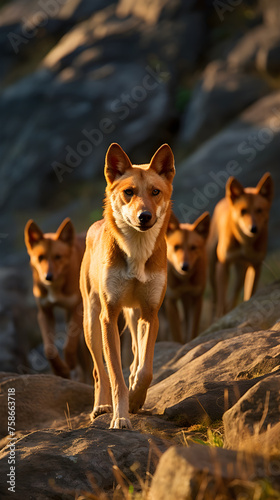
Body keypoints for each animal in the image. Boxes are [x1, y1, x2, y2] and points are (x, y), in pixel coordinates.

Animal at [25, 219, 89, 378]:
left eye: (58, 256)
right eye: (40, 257)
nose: (48, 277)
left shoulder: (77, 309)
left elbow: (69, 344)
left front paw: (69, 364)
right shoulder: (44, 313)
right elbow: (49, 349)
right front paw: (60, 371)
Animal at [79, 142, 175, 430]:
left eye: (155, 192)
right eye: (129, 192)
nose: (145, 216)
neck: (137, 252)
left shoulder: (151, 314)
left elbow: (146, 370)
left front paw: (135, 400)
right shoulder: (109, 316)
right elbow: (115, 378)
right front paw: (120, 417)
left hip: (133, 316)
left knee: (135, 354)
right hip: (92, 323)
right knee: (98, 371)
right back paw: (100, 407)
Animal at [165, 211, 209, 344]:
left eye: (193, 247)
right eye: (176, 247)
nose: (184, 267)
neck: (184, 281)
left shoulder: (196, 298)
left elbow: (192, 331)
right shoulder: (171, 300)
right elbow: (177, 335)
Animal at [209, 174, 272, 318]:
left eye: (259, 210)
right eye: (243, 211)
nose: (253, 229)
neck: (245, 244)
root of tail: (225, 200)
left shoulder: (256, 266)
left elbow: (249, 295)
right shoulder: (223, 265)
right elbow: (221, 301)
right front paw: (220, 316)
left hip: (241, 273)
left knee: (234, 296)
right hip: (211, 263)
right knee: (216, 297)